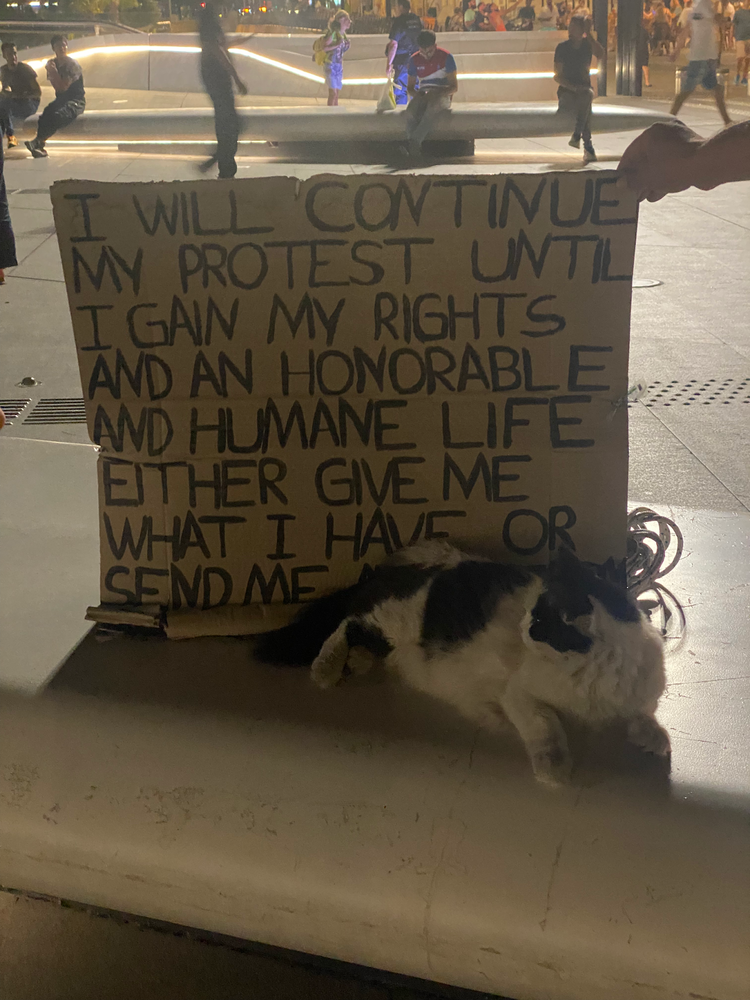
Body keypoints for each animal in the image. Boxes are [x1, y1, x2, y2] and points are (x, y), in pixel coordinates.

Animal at [258, 544, 668, 784]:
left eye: (537, 619)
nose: (522, 625)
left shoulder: (641, 694)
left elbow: (643, 713)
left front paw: (653, 738)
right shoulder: (520, 694)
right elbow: (545, 725)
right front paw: (553, 767)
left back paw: (356, 663)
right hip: (393, 618)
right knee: (348, 621)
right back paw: (327, 668)